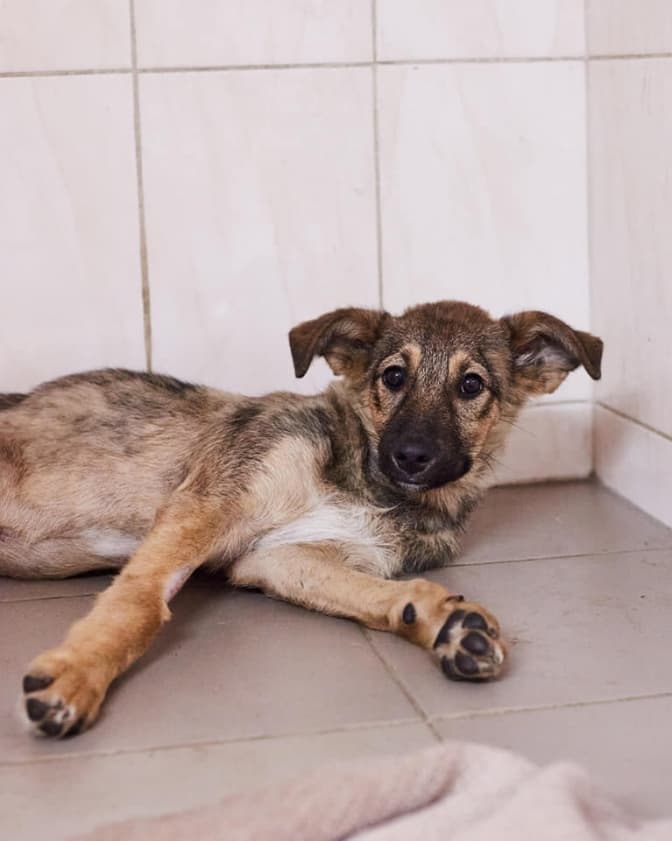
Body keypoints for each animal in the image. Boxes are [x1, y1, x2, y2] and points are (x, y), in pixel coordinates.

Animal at [0, 300, 602, 738]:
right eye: (394, 377)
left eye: (471, 385)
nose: (409, 456)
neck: (368, 484)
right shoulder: (207, 502)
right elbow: (140, 603)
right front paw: (79, 672)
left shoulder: (279, 558)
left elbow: (378, 593)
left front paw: (445, 623)